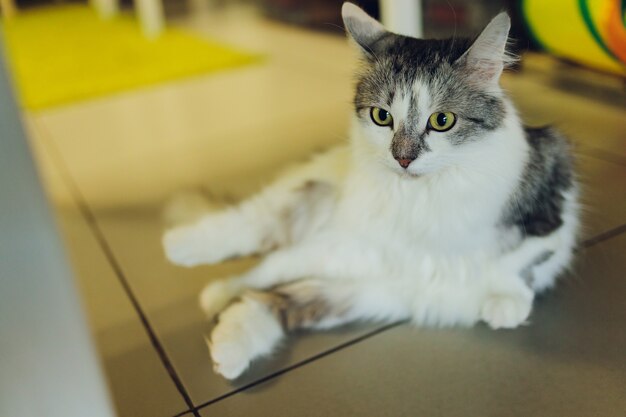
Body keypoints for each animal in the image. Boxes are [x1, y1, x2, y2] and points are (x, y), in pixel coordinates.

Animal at [162, 2, 580, 380]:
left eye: (442, 121)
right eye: (382, 117)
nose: (403, 158)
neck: (423, 198)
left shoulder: (553, 194)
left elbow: (524, 259)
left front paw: (505, 301)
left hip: (344, 276)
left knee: (266, 287)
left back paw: (225, 333)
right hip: (320, 225)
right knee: (258, 241)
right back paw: (187, 255)